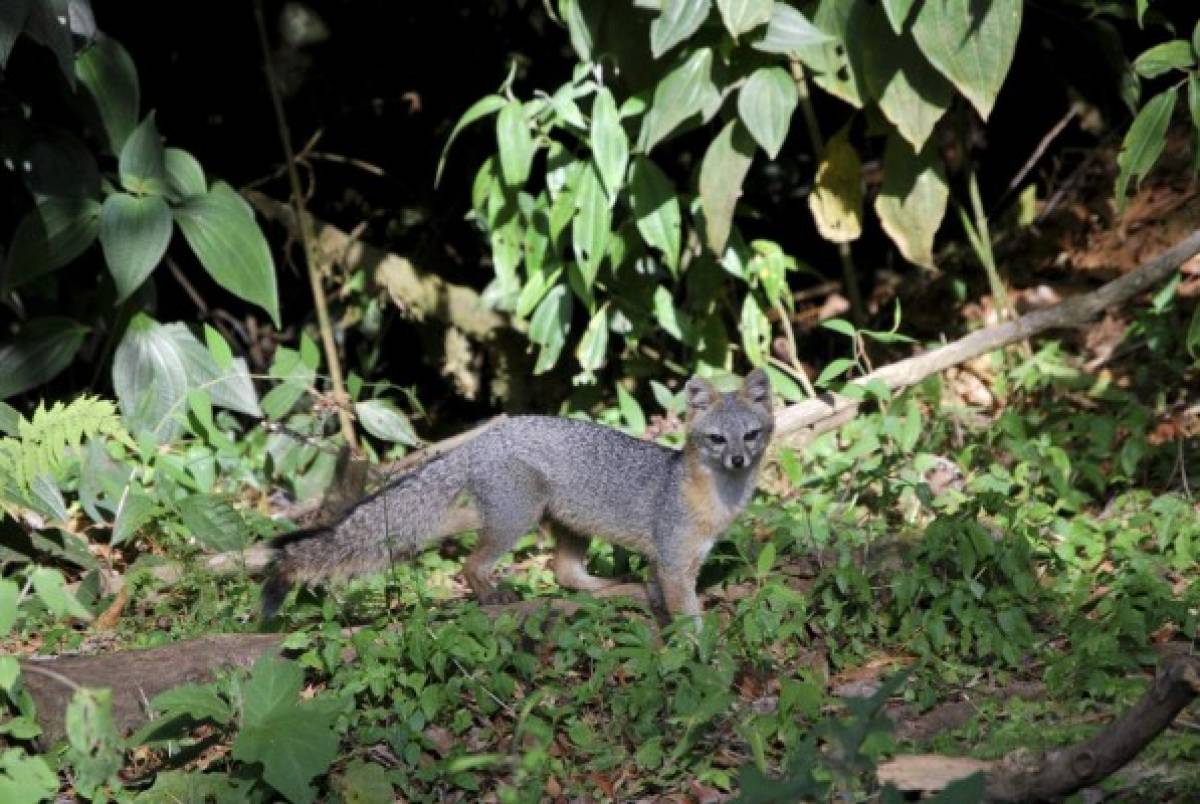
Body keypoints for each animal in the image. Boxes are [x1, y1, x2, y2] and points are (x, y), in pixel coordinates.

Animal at [258, 372, 772, 624]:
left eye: (750, 435)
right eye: (716, 440)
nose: (738, 460)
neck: (715, 498)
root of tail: (482, 439)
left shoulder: (674, 564)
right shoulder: (672, 563)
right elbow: (688, 620)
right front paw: (700, 660)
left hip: (566, 523)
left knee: (566, 575)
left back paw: (616, 589)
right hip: (518, 518)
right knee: (473, 565)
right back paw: (492, 596)